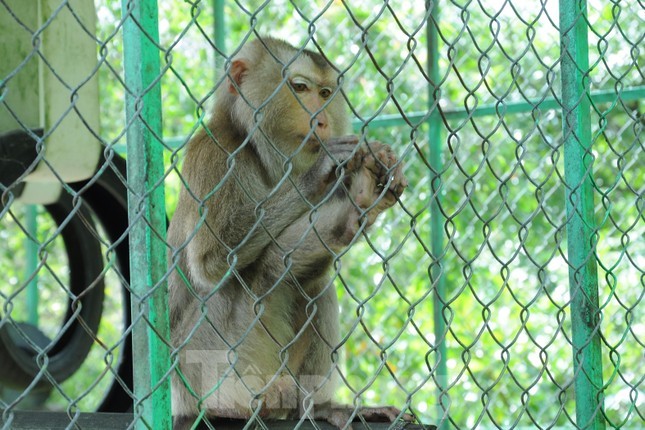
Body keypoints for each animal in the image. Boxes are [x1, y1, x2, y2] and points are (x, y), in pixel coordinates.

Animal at [166, 37, 408, 430]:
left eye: (325, 93)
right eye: (300, 88)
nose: (321, 120)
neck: (257, 152)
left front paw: (360, 200)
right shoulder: (216, 154)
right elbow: (212, 261)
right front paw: (319, 173)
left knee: (311, 282)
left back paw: (317, 406)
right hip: (194, 371)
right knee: (243, 279)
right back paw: (231, 405)